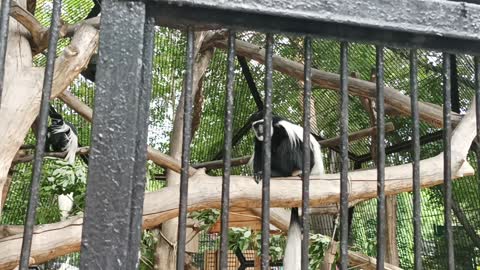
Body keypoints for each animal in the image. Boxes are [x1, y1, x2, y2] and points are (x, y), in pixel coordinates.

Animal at [249, 112, 324, 270]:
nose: (259, 131)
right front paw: (258, 173)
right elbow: (258, 148)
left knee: (288, 144)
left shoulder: (281, 128)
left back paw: (280, 173)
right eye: (255, 126)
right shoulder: (257, 139)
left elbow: (287, 140)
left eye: (261, 124)